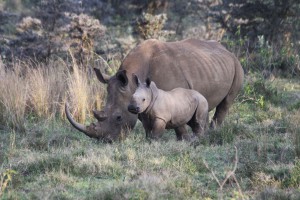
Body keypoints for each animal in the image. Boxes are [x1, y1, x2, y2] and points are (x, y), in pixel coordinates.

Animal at [65, 38, 244, 142]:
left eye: (118, 117)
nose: (106, 141)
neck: (132, 80)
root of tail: (225, 49)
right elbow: (146, 120)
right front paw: (149, 139)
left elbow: (177, 119)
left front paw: (183, 140)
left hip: (236, 64)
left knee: (226, 102)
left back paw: (213, 133)